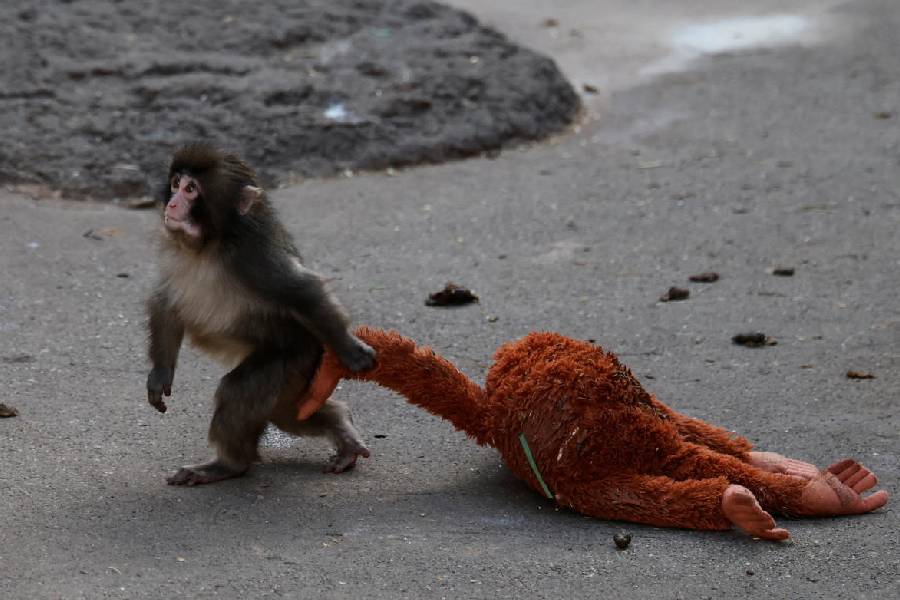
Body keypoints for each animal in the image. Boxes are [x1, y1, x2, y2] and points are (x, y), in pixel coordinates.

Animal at [146, 143, 376, 485]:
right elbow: (166, 303)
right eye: (175, 183)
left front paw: (350, 349)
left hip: (294, 358)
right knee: (290, 414)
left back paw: (229, 465)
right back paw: (341, 424)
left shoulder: (254, 258)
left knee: (240, 392)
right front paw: (161, 373)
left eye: (191, 189)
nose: (172, 203)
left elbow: (303, 291)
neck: (210, 244)